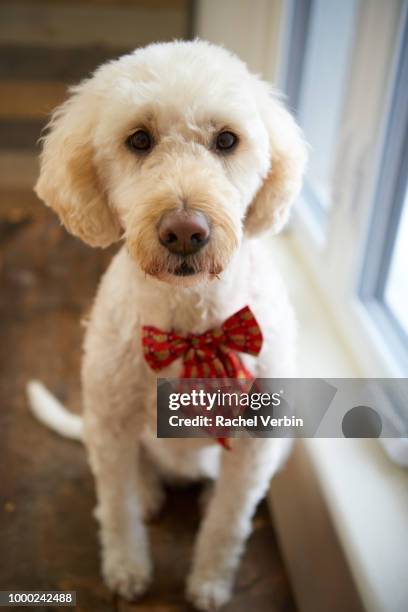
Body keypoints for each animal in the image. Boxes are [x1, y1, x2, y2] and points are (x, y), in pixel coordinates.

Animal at [27, 40, 306, 608]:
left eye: (227, 139)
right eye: (139, 139)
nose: (184, 231)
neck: (190, 323)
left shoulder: (257, 444)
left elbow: (227, 525)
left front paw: (210, 582)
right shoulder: (110, 426)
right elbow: (116, 511)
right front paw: (127, 570)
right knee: (135, 479)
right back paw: (150, 492)